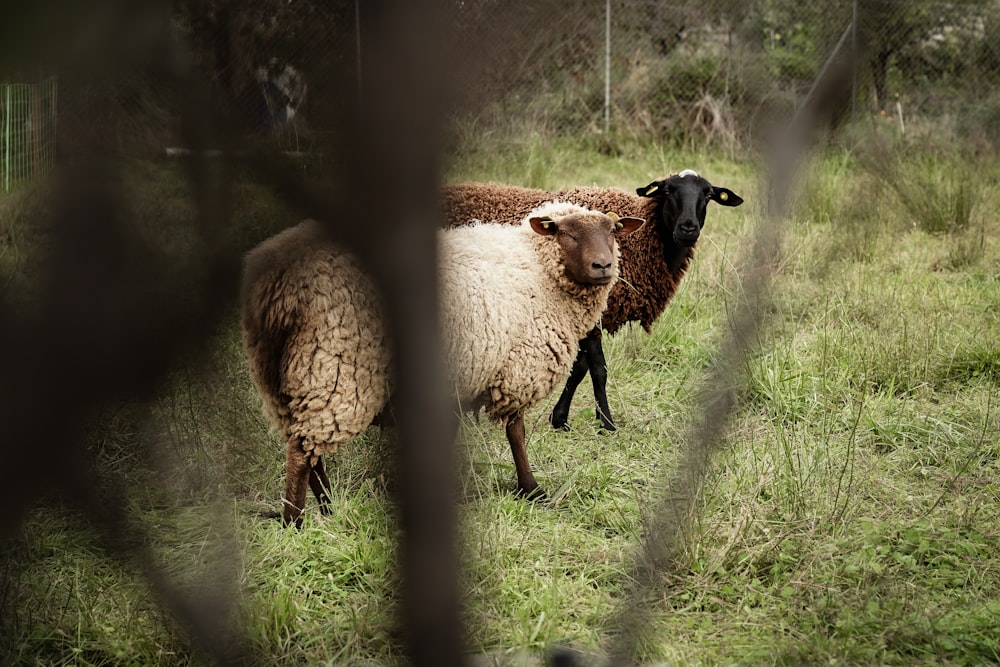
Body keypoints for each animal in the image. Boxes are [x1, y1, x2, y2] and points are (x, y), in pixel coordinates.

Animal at [440, 172, 744, 430]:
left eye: (707, 194)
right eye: (668, 190)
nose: (688, 228)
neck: (642, 240)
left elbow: (580, 368)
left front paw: (560, 418)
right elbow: (598, 369)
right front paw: (606, 423)